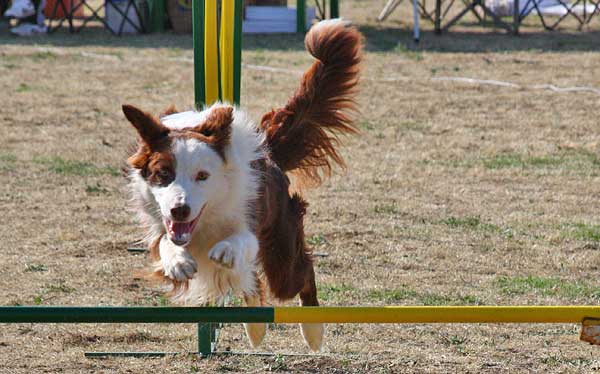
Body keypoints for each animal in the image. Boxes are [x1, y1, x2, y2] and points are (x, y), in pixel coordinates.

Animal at [122, 19, 360, 350]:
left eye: (203, 176)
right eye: (163, 173)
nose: (180, 210)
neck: (205, 220)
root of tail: (269, 152)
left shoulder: (250, 222)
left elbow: (242, 242)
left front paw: (226, 250)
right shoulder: (160, 224)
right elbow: (164, 244)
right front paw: (178, 261)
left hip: (282, 253)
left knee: (301, 273)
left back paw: (312, 331)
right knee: (254, 284)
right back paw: (255, 326)